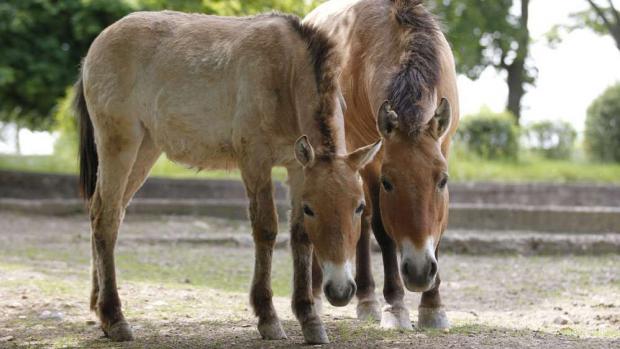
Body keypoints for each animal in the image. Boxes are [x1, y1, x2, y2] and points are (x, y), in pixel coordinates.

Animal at [75, 10, 380, 342]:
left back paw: (99, 309)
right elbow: (266, 229)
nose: (340, 291)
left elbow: (300, 236)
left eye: (359, 207)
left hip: (145, 150)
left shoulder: (298, 168)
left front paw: (310, 320)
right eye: (312, 209)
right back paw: (114, 318)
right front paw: (268, 317)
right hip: (120, 146)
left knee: (108, 213)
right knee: (105, 219)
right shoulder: (255, 161)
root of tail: (96, 46)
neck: (285, 71)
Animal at [306, 0, 460, 328]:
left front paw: (433, 306)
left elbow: (440, 224)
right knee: (360, 220)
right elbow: (380, 227)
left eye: (442, 180)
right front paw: (395, 307)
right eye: (389, 183)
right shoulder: (370, 158)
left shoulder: (445, 145)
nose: (419, 271)